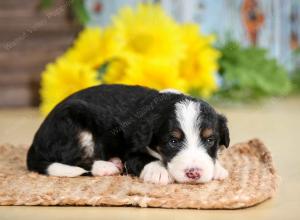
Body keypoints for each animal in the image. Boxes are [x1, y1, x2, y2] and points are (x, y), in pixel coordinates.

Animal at [27, 84, 230, 184]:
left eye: (210, 140)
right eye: (173, 141)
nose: (194, 173)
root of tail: (35, 142)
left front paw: (218, 168)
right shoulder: (130, 151)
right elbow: (142, 159)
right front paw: (157, 171)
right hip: (73, 122)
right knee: (73, 159)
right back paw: (106, 167)